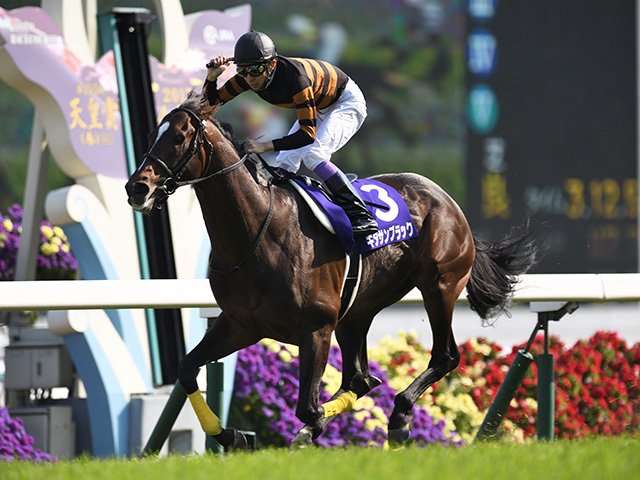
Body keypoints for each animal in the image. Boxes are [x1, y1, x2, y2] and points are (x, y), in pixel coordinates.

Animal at [125, 91, 537, 449]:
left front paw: (309, 429)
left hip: (440, 286)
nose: (137, 188)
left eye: (179, 137)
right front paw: (233, 436)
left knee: (444, 356)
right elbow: (186, 368)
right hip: (357, 311)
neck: (257, 233)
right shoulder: (241, 324)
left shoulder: (316, 329)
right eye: (150, 135)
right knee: (362, 378)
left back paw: (399, 418)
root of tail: (445, 198)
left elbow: (308, 407)